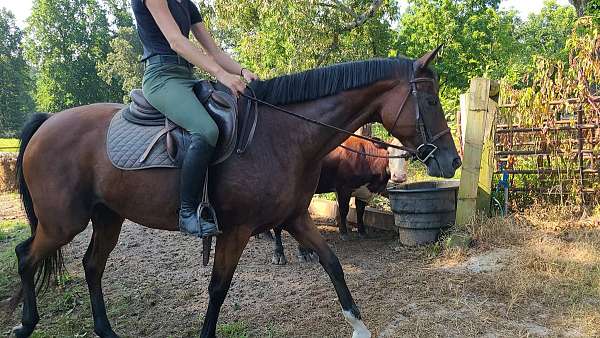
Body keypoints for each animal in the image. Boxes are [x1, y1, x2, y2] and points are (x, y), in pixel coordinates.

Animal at [8, 46, 460, 338]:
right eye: (431, 100)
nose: (452, 161)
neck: (282, 135)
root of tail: (48, 123)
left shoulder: (295, 218)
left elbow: (332, 264)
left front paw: (358, 325)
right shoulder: (236, 231)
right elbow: (218, 288)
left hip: (107, 216)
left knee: (91, 265)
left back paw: (104, 330)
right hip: (62, 222)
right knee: (26, 256)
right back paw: (25, 324)